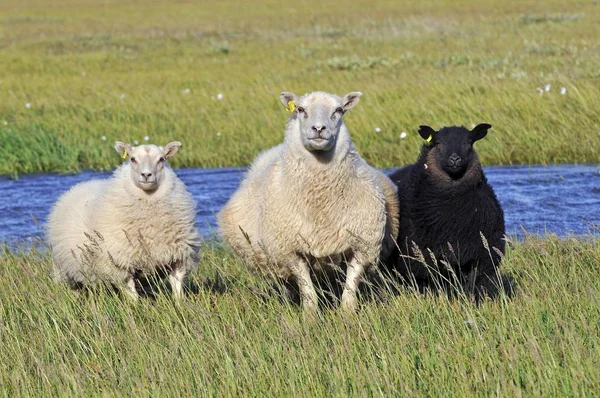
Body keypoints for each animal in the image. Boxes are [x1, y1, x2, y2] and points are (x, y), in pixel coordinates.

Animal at [47, 140, 202, 298]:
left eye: (161, 159)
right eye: (132, 159)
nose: (146, 175)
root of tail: (81, 185)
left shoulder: (179, 258)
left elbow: (178, 290)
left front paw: (179, 303)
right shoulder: (119, 264)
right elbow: (132, 296)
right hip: (66, 271)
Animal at [219, 91, 398, 312]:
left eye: (339, 110)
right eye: (300, 109)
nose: (319, 129)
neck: (320, 202)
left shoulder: (363, 246)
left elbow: (350, 287)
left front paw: (347, 313)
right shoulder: (290, 251)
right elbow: (307, 290)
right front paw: (310, 315)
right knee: (288, 283)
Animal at [384, 124, 506, 298]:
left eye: (469, 142)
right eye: (438, 143)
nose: (454, 159)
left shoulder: (481, 257)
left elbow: (472, 286)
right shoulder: (428, 259)